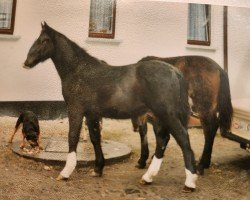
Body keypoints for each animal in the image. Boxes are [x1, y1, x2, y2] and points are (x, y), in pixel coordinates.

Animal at [23, 22, 197, 191]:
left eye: (44, 40)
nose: (27, 62)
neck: (79, 70)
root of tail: (175, 72)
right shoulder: (92, 114)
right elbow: (95, 138)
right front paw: (98, 169)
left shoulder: (76, 110)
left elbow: (72, 137)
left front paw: (66, 172)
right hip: (159, 117)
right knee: (163, 140)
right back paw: (148, 177)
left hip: (168, 115)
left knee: (183, 140)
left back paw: (189, 183)